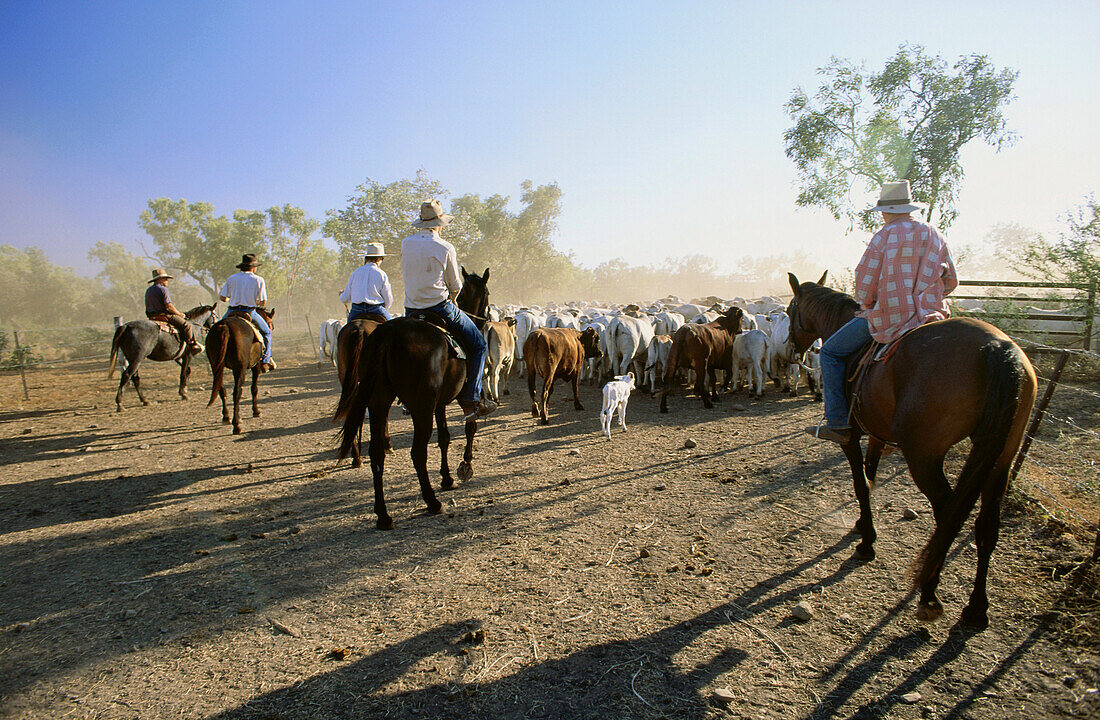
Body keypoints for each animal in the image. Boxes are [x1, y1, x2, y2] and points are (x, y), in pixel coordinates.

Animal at [332, 267, 492, 532]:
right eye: (487, 293)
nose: (484, 319)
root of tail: (388, 333)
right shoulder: (462, 398)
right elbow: (470, 426)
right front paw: (465, 465)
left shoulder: (439, 403)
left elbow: (444, 438)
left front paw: (447, 478)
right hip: (421, 408)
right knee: (417, 452)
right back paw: (432, 502)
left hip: (378, 401)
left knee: (376, 452)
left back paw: (383, 515)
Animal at [787, 273, 1034, 628]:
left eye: (790, 310)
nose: (792, 348)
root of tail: (996, 348)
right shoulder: (877, 436)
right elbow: (871, 477)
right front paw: (861, 525)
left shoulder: (851, 437)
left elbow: (861, 484)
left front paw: (867, 543)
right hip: (1001, 459)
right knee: (986, 525)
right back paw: (976, 608)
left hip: (924, 458)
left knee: (948, 515)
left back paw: (929, 595)